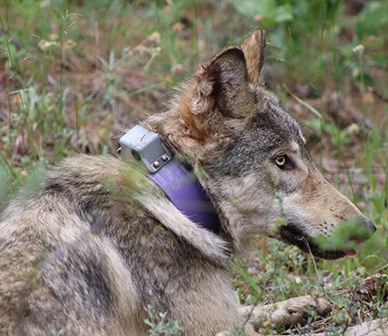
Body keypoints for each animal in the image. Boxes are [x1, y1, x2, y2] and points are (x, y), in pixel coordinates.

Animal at [0, 30, 376, 334]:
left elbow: (251, 308)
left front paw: (302, 304)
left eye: (306, 154)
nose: (370, 227)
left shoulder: (226, 315)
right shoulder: (216, 327)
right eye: (282, 160)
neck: (172, 201)